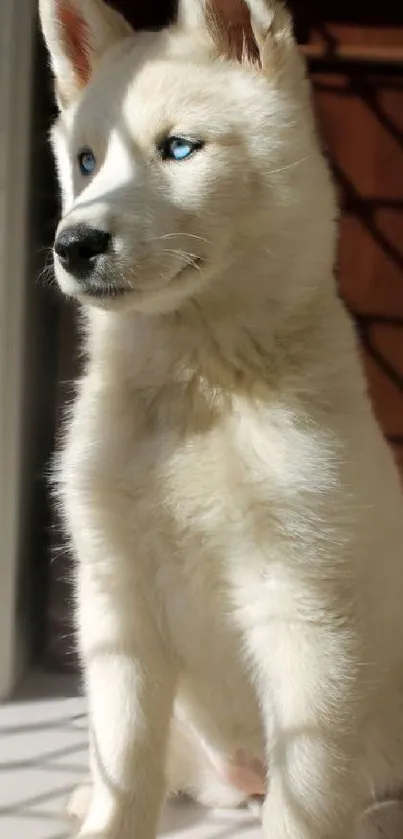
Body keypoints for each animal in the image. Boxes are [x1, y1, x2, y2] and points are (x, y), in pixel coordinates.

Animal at [38, 0, 403, 836]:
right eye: (85, 161)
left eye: (178, 148)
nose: (72, 245)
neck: (196, 389)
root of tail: (240, 780)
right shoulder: (115, 594)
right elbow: (126, 762)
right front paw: (106, 815)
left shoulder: (303, 605)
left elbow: (306, 787)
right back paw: (81, 798)